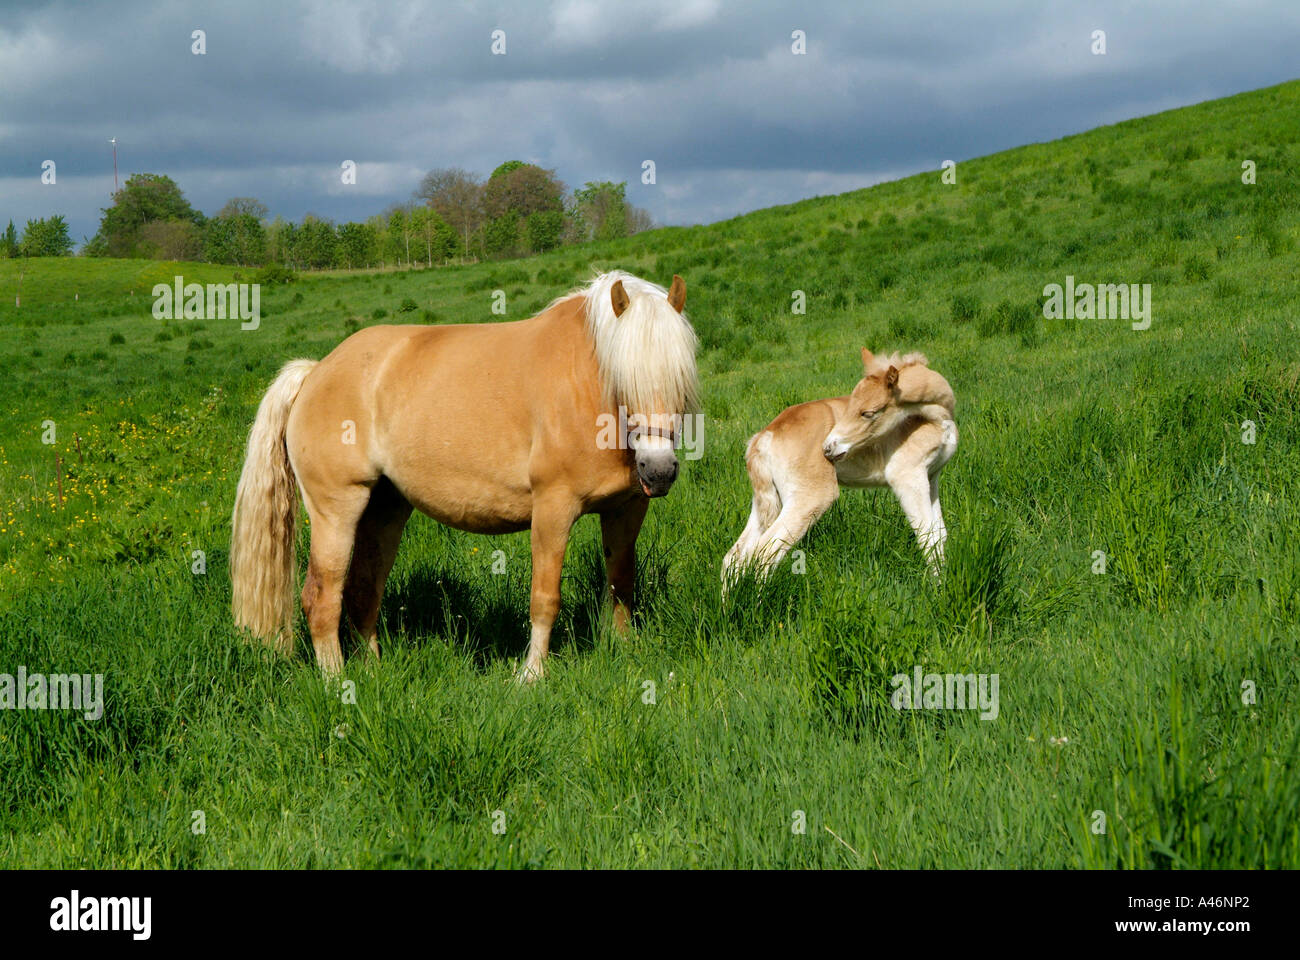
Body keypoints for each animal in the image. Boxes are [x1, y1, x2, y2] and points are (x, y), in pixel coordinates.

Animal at [233, 269, 702, 681]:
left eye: (680, 381)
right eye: (626, 380)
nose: (659, 471)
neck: (585, 387)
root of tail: (315, 372)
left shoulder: (627, 509)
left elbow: (621, 583)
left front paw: (623, 651)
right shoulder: (553, 508)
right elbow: (544, 598)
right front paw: (531, 675)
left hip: (384, 509)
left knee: (363, 591)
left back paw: (373, 670)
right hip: (337, 509)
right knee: (321, 598)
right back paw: (336, 682)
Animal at [722, 348, 956, 580]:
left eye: (867, 413)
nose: (828, 448)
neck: (939, 419)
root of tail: (764, 436)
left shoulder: (931, 476)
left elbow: (940, 533)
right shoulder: (907, 477)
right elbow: (927, 536)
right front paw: (937, 586)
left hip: (766, 500)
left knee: (734, 557)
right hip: (811, 496)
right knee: (764, 552)